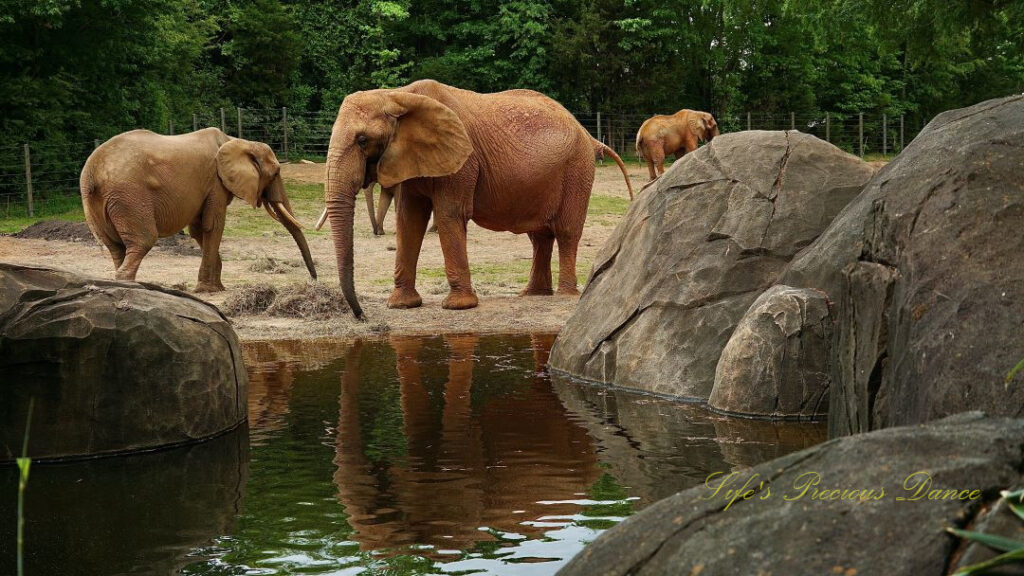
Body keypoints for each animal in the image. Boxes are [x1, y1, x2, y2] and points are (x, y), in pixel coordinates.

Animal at [79, 127, 313, 289]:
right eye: (276, 173)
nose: (314, 279)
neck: (237, 141)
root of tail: (92, 172)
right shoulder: (216, 182)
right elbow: (213, 226)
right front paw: (208, 290)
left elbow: (199, 230)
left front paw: (216, 287)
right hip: (129, 196)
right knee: (143, 240)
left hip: (97, 202)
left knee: (115, 245)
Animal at [319, 78, 630, 315]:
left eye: (362, 140)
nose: (360, 315)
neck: (398, 95)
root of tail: (588, 135)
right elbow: (409, 219)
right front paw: (401, 305)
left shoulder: (463, 161)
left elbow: (449, 214)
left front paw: (458, 307)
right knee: (539, 236)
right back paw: (532, 295)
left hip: (577, 169)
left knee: (565, 231)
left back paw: (564, 296)